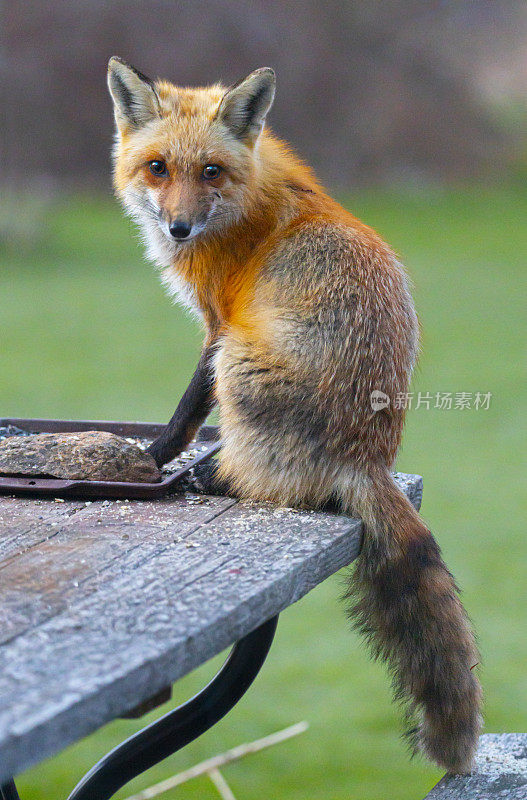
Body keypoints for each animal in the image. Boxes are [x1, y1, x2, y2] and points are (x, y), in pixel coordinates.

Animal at [107, 57, 482, 776]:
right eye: (158, 168)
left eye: (210, 172)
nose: (177, 229)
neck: (247, 199)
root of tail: (366, 459)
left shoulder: (217, 327)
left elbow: (185, 415)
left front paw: (154, 459)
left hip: (239, 363)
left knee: (264, 481)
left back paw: (212, 478)